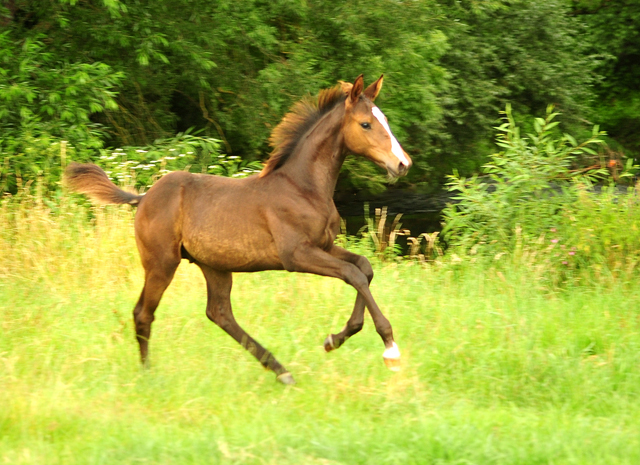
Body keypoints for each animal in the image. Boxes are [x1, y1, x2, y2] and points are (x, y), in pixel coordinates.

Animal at [65, 74, 412, 382]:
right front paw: (390, 349)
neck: (303, 188)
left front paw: (335, 339)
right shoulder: (296, 255)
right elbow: (353, 275)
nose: (402, 164)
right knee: (143, 312)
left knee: (219, 313)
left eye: (385, 121)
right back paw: (148, 373)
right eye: (365, 124)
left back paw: (281, 371)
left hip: (213, 265)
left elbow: (363, 268)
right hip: (162, 262)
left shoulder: (324, 246)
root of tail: (144, 197)